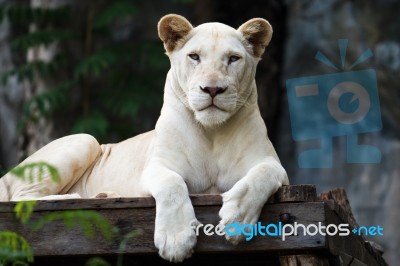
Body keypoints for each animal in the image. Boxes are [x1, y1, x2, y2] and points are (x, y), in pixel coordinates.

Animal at [0, 14, 288, 262]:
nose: (213, 89)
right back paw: (76, 198)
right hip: (84, 139)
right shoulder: (155, 167)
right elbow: (172, 185)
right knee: (20, 198)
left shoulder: (275, 167)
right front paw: (176, 239)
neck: (212, 133)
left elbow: (262, 175)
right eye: (194, 57)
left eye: (233, 59)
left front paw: (237, 220)